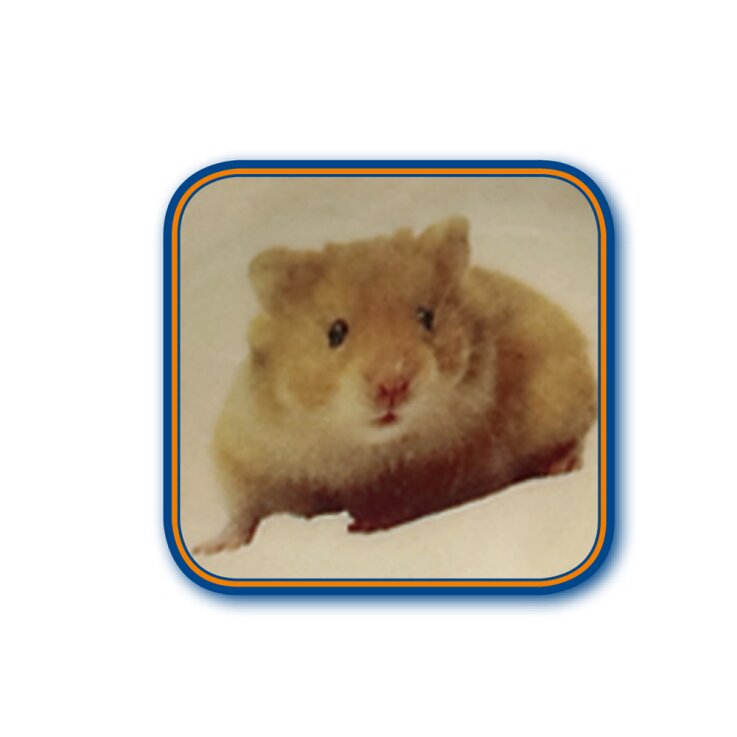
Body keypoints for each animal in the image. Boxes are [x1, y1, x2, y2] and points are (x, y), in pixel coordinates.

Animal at [193, 216, 596, 554]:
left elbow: (400, 503)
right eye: (335, 332)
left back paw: (561, 465)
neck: (359, 445)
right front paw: (211, 548)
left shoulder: (443, 471)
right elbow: (244, 513)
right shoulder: (245, 455)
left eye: (427, 316)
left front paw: (363, 525)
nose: (393, 387)